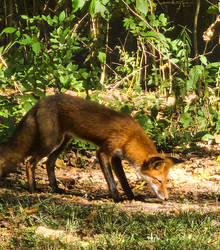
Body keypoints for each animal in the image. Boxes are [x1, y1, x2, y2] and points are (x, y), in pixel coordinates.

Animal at [0, 94, 181, 201]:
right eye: (158, 180)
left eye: (166, 181)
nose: (166, 198)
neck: (130, 137)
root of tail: (41, 101)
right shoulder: (103, 152)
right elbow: (111, 179)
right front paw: (117, 198)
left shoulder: (116, 157)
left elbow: (123, 180)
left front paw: (132, 196)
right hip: (50, 143)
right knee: (30, 162)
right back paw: (33, 189)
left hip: (62, 143)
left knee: (49, 163)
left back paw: (56, 189)